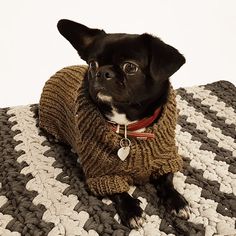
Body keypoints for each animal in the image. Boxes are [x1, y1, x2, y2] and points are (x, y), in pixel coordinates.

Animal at [56, 20, 189, 229]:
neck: (129, 126)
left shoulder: (166, 160)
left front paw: (176, 201)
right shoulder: (102, 174)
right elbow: (118, 190)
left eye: (130, 67)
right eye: (92, 64)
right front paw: (132, 210)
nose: (102, 72)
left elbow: (167, 180)